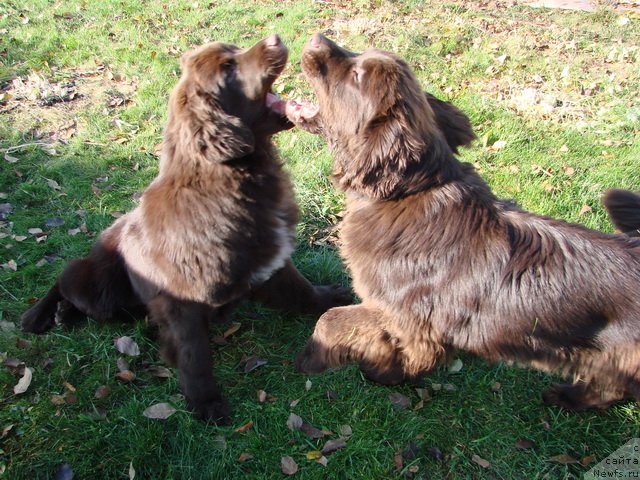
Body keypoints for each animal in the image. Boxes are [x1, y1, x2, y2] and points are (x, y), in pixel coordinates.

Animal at [21, 35, 350, 422]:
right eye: (228, 69)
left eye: (233, 50)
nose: (274, 39)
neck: (232, 180)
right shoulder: (181, 300)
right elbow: (194, 354)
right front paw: (206, 402)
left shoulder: (271, 260)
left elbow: (302, 290)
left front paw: (332, 299)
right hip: (101, 284)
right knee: (66, 279)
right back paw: (48, 313)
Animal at [288, 33, 640, 410]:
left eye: (357, 75)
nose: (317, 38)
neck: (406, 193)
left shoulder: (407, 319)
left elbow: (332, 319)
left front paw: (332, 362)